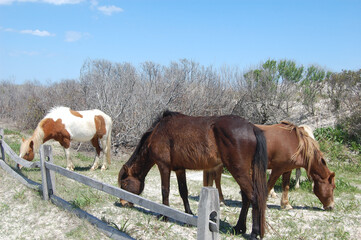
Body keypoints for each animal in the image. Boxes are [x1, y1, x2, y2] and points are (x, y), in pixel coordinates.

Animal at [118, 111, 268, 240]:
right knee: (246, 198)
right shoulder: (179, 169)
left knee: (254, 198)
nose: (123, 203)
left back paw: (253, 233)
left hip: (238, 171)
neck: (157, 131)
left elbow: (165, 190)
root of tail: (251, 127)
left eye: (125, 183)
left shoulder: (163, 166)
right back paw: (238, 228)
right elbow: (183, 191)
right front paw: (188, 215)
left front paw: (164, 215)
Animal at [202, 120, 334, 210]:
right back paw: (221, 200)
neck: (295, 143)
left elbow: (285, 186)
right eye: (333, 187)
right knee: (218, 179)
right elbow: (269, 185)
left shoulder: (287, 169)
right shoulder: (277, 169)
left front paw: (286, 204)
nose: (331, 206)